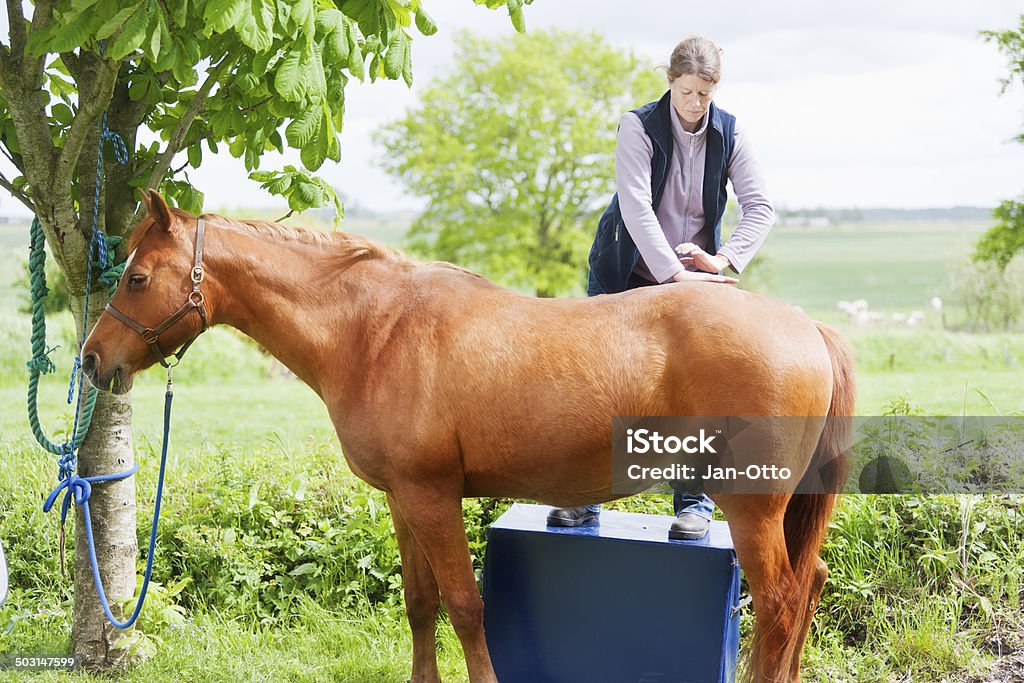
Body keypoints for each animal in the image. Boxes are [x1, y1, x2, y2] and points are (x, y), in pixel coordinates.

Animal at [81, 191, 856, 683]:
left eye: (137, 275)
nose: (92, 358)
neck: (375, 330)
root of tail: (807, 328)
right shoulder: (403, 499)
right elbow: (420, 603)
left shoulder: (433, 496)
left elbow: (463, 605)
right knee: (809, 583)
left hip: (752, 509)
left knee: (780, 602)